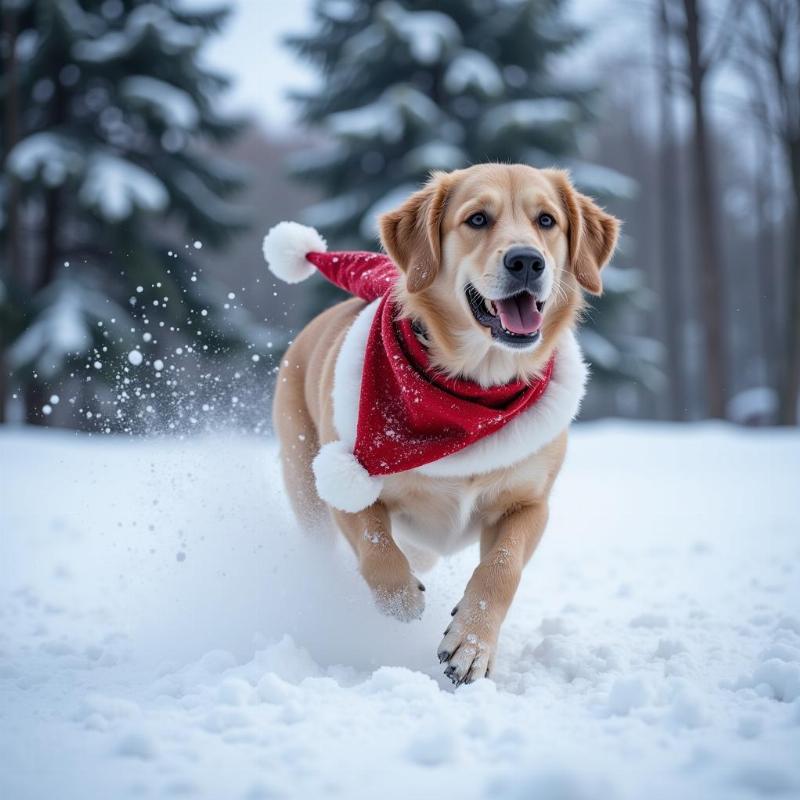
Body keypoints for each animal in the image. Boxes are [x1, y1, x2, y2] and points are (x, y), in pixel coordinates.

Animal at [268, 166, 620, 684]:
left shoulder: (529, 504)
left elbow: (501, 569)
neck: (475, 391)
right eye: (477, 218)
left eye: (546, 220)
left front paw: (471, 645)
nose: (527, 261)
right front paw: (399, 600)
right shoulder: (349, 478)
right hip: (305, 481)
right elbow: (376, 545)